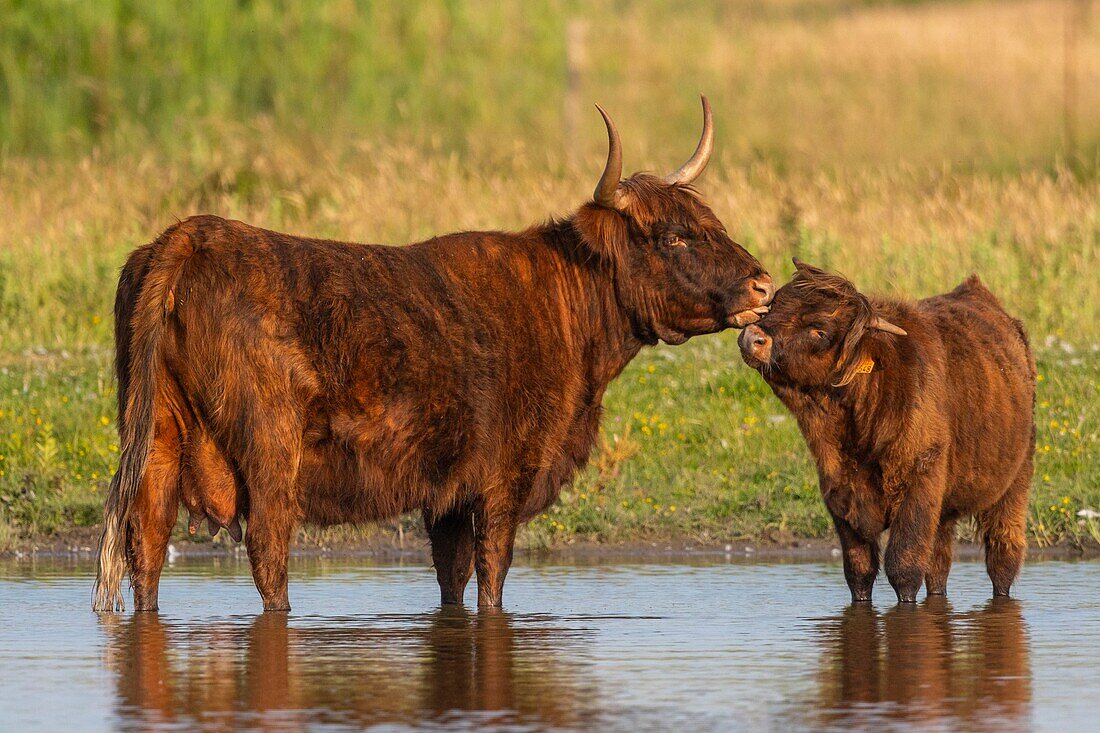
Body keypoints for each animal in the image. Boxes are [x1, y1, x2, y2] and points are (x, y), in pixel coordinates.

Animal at [94, 96, 774, 611]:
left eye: (711, 223)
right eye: (674, 237)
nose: (763, 285)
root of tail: (190, 235)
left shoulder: (446, 493)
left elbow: (452, 579)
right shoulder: (504, 478)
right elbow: (492, 576)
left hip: (157, 438)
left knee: (145, 541)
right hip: (269, 446)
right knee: (267, 548)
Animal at [739, 259, 1029, 603]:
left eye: (820, 330)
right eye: (775, 305)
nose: (752, 337)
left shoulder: (918, 487)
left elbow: (903, 567)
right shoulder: (840, 495)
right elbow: (860, 572)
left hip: (1015, 483)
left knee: (1003, 554)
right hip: (944, 513)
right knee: (939, 564)